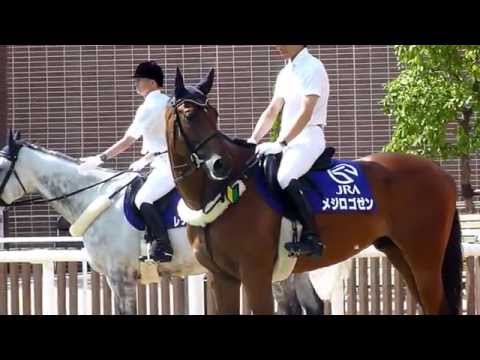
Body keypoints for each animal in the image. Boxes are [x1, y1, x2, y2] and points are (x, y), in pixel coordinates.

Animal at [167, 67, 464, 316]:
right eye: (190, 115)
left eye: (214, 114)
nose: (220, 164)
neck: (221, 190)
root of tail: (442, 173)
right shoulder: (222, 279)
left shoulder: (255, 275)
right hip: (399, 254)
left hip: (424, 260)